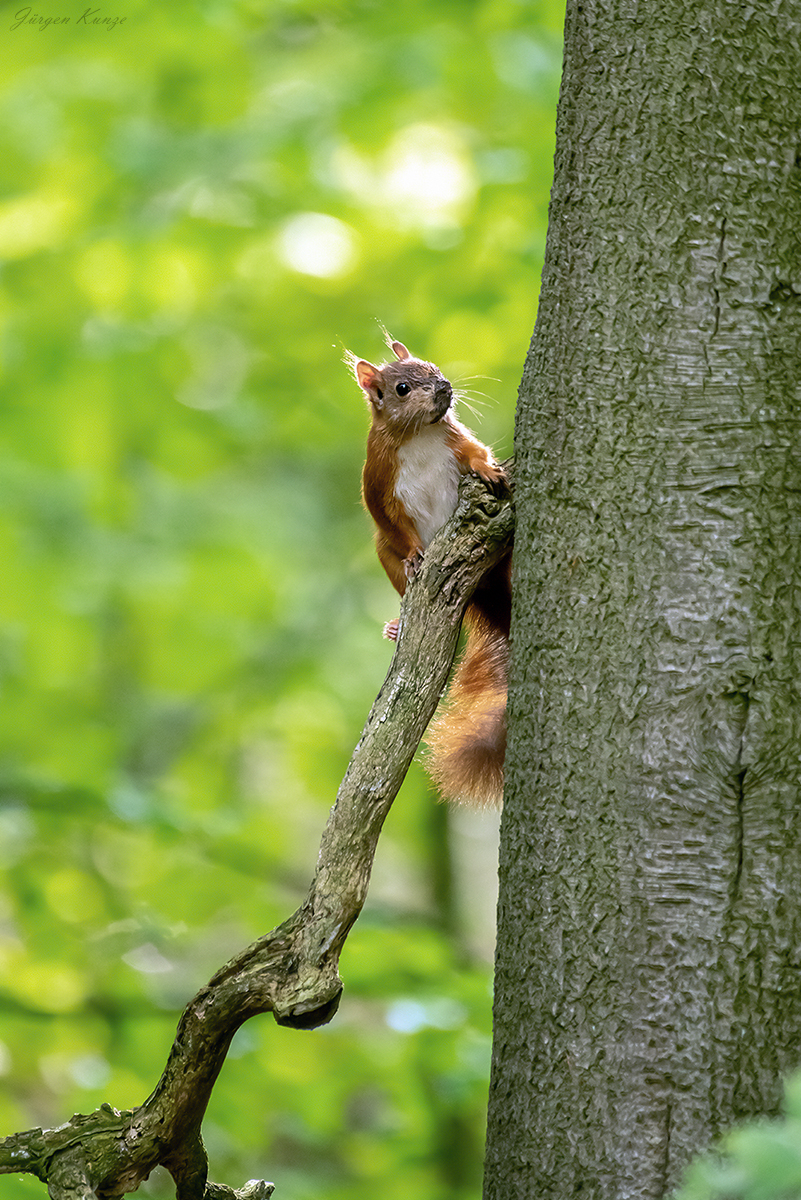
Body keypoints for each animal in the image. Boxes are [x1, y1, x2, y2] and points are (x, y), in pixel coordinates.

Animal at [345, 338, 510, 806]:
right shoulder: (378, 480)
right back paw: (398, 626)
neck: (419, 435)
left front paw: (490, 469)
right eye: (402, 388)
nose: (445, 388)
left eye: (433, 366)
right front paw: (416, 555)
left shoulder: (456, 441)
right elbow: (391, 522)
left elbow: (477, 453)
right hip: (384, 554)